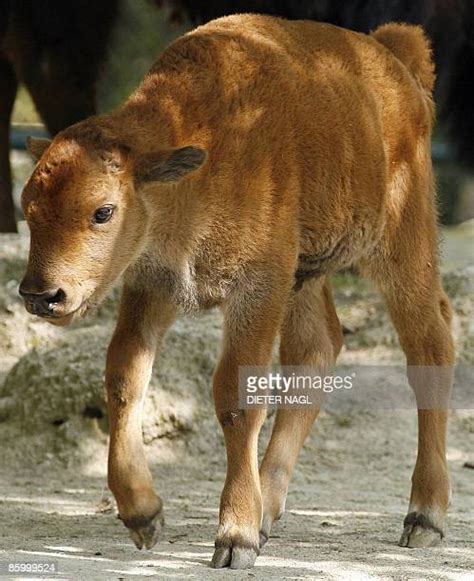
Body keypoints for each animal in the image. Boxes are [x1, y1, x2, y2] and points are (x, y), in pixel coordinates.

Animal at [19, 15, 456, 568]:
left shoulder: (257, 287)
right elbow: (124, 379)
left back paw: (424, 517)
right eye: (28, 207)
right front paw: (144, 516)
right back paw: (268, 508)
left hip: (399, 245)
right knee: (317, 349)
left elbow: (236, 395)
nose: (41, 294)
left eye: (103, 211)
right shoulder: (154, 286)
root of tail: (394, 58)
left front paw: (235, 537)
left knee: (429, 345)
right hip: (306, 276)